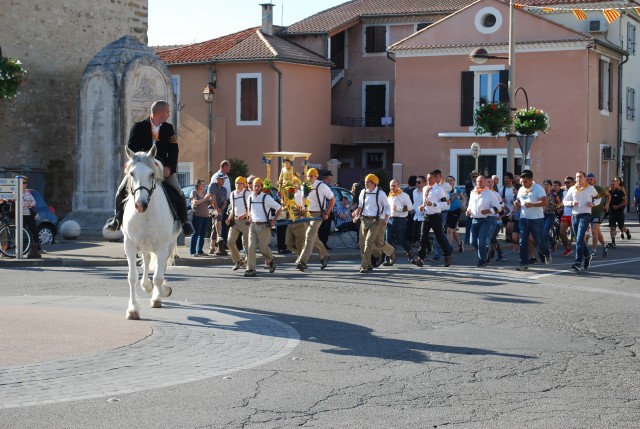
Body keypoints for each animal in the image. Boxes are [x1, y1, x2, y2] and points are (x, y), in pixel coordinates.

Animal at [121, 145, 180, 320]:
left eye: (151, 174)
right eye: (131, 173)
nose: (141, 204)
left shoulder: (163, 246)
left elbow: (159, 277)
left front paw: (160, 295)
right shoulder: (130, 245)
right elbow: (132, 277)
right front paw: (133, 309)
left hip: (168, 245)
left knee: (160, 268)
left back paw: (157, 292)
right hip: (144, 245)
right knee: (147, 261)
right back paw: (146, 285)